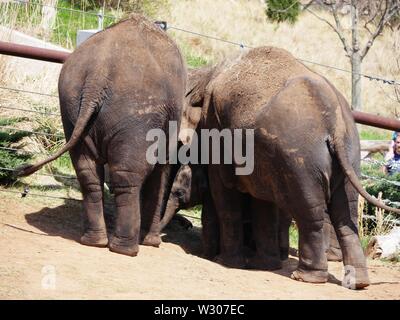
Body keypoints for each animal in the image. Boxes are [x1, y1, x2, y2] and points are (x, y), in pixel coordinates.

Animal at [16, 14, 188, 258]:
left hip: (71, 105)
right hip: (134, 112)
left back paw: (94, 242)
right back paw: (125, 250)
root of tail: (97, 76)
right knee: (127, 176)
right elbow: (162, 167)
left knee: (87, 172)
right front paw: (152, 243)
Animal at [180, 46, 400, 288]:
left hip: (300, 159)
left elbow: (224, 192)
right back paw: (357, 283)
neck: (209, 74)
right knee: (346, 214)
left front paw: (225, 262)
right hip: (349, 155)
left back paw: (306, 277)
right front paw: (263, 266)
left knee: (309, 212)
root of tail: (334, 124)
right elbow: (262, 201)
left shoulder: (217, 130)